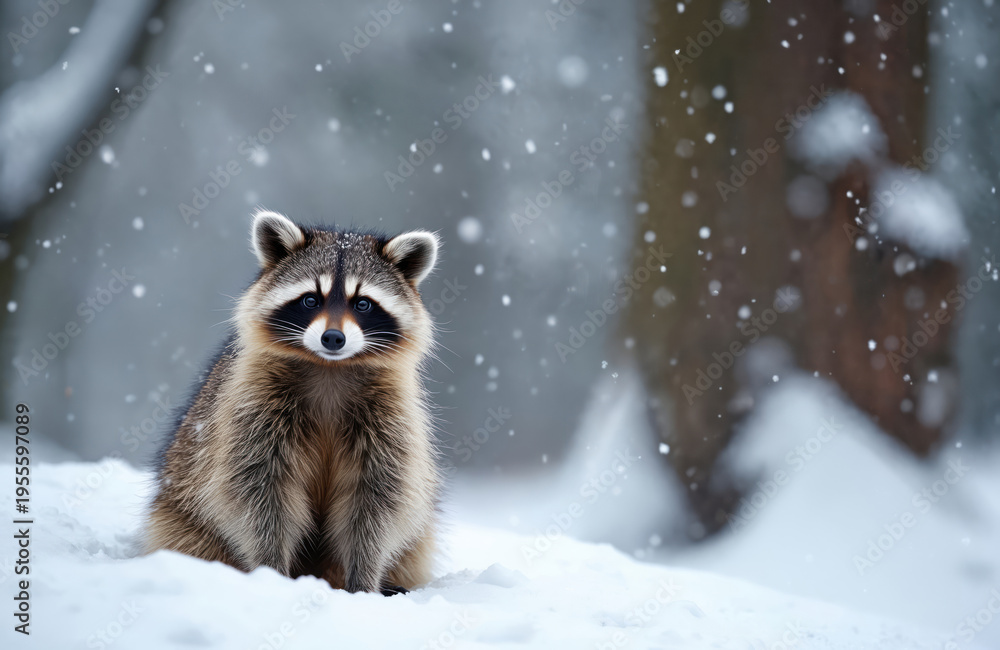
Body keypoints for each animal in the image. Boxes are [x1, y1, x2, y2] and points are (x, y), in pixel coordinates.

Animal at [144, 209, 441, 595]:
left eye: (362, 303)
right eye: (310, 300)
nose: (333, 338)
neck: (330, 368)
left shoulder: (391, 422)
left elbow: (376, 502)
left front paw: (364, 580)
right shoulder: (249, 409)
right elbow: (260, 495)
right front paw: (271, 571)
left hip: (419, 538)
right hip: (178, 514)